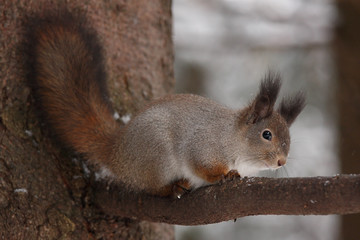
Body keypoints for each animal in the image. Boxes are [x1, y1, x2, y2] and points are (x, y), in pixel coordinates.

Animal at [28, 13, 306, 198]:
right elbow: (201, 166)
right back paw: (172, 186)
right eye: (266, 134)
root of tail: (116, 152)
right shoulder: (203, 145)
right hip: (157, 154)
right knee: (150, 186)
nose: (281, 162)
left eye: (289, 139)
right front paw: (223, 175)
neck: (234, 139)